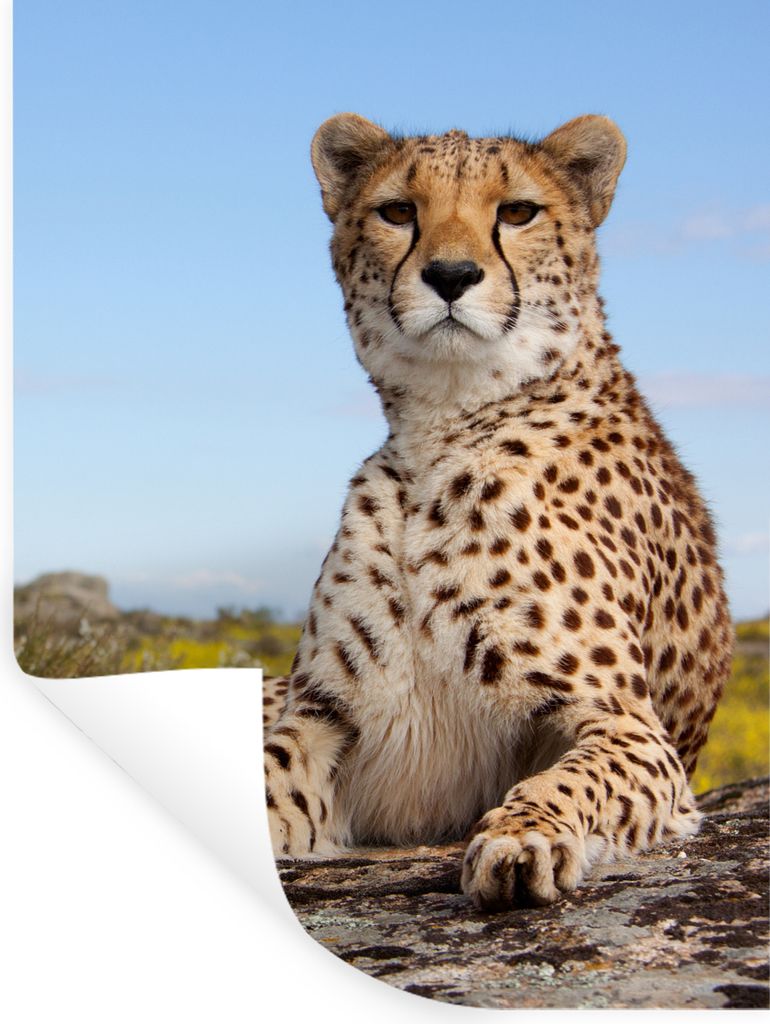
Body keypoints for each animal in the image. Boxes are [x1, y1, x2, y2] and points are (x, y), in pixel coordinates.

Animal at [263, 112, 733, 911]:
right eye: (398, 211)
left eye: (516, 212)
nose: (451, 276)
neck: (444, 426)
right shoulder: (322, 716)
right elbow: (260, 775)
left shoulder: (629, 728)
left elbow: (572, 778)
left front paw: (523, 836)